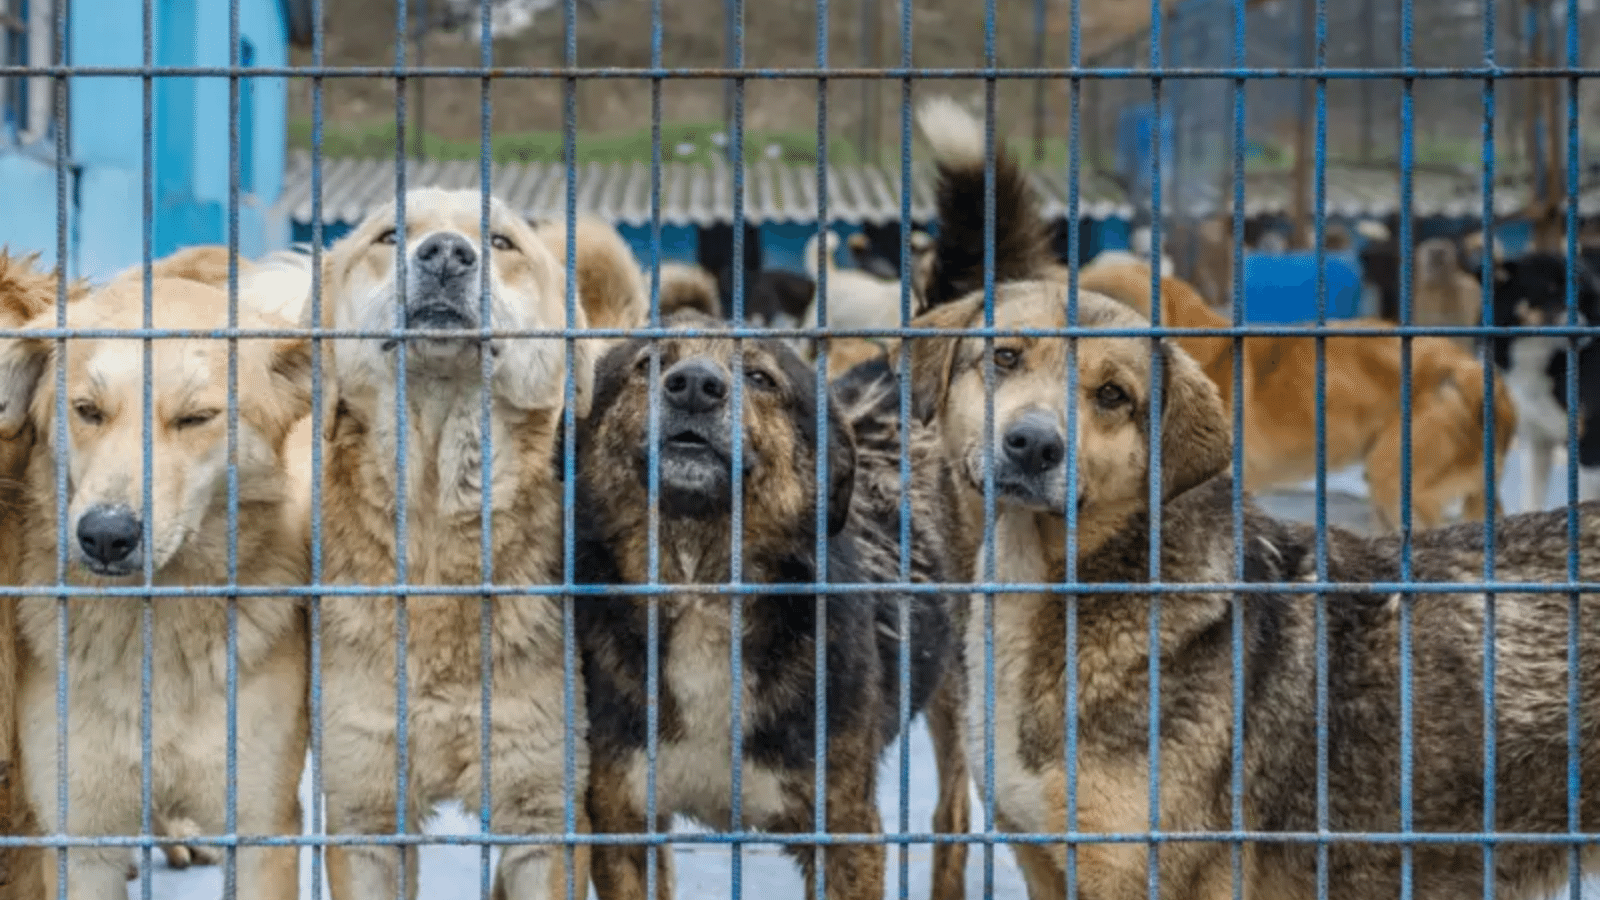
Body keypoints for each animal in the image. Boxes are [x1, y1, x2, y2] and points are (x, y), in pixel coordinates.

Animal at [0, 275, 315, 896]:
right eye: (87, 411)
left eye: (196, 418)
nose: (105, 536)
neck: (154, 635)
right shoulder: (79, 836)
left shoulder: (262, 832)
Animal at [576, 313, 972, 896]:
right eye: (648, 364)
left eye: (760, 378)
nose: (694, 385)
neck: (700, 587)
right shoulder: (623, 822)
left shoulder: (845, 831)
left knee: (954, 814)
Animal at [1484, 249, 1600, 512]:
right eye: (1549, 290)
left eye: (1581, 292)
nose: (1583, 330)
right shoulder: (1537, 439)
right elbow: (1531, 500)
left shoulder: (1589, 441)